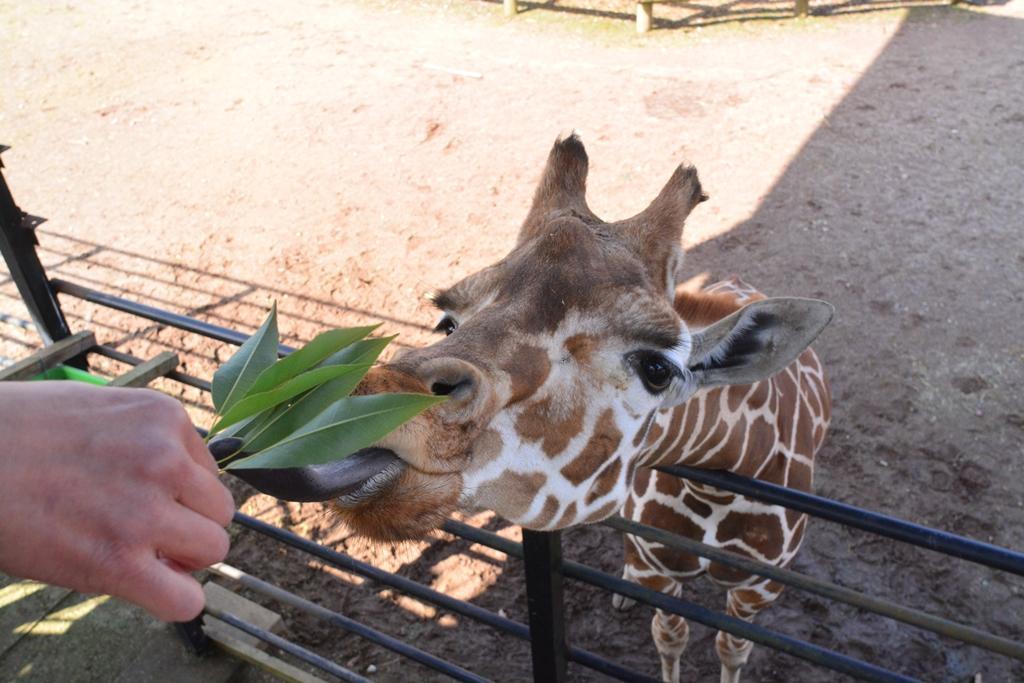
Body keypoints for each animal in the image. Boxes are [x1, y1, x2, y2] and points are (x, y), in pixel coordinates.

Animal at [253, 135, 831, 683]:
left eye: (657, 368)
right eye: (447, 321)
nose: (367, 406)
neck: (721, 478)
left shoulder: (756, 593)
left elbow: (730, 649)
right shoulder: (659, 571)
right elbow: (670, 634)